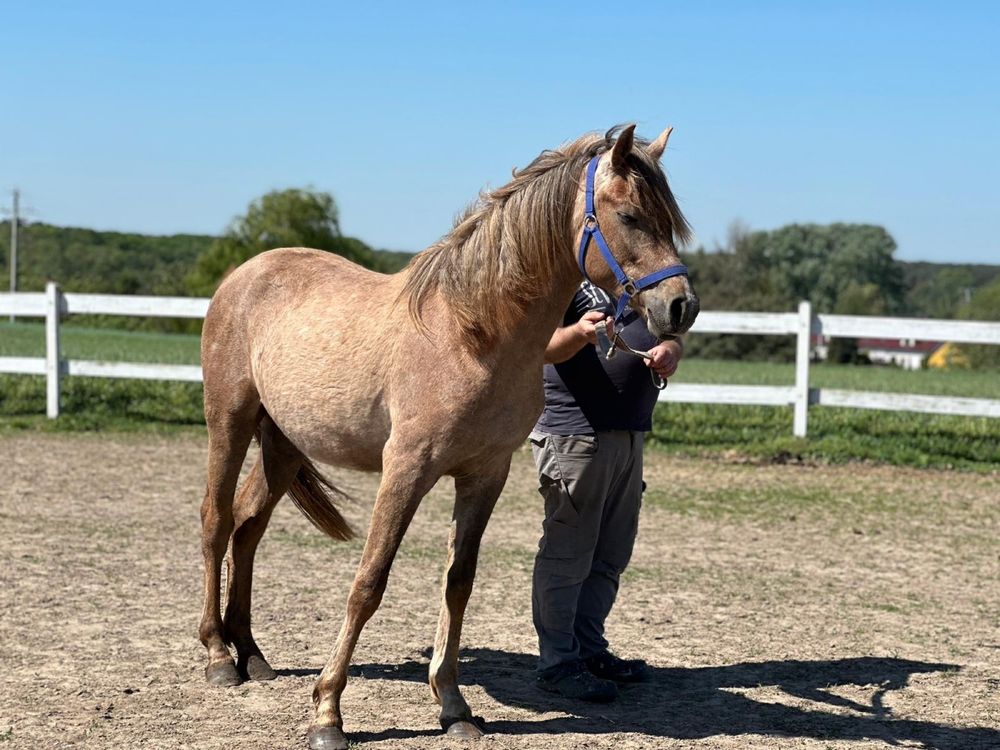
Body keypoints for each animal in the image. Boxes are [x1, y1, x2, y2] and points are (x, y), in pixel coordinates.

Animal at [195, 125, 696, 750]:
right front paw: (328, 713)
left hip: (284, 447)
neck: (471, 332)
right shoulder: (406, 469)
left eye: (669, 219)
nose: (681, 306)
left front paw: (454, 707)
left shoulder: (485, 475)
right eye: (629, 216)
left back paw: (253, 654)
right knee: (216, 522)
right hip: (230, 422)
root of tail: (246, 272)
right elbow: (368, 582)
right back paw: (219, 656)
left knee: (248, 529)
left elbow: (458, 583)